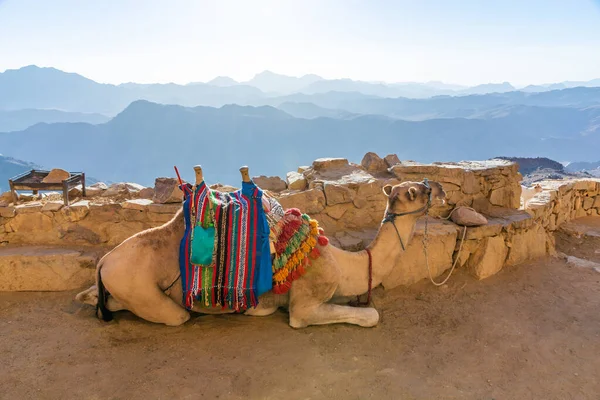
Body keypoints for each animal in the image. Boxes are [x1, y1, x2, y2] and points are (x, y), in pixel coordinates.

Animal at [76, 166, 446, 328]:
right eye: (414, 192)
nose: (437, 187)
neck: (342, 264)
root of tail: (105, 262)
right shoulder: (305, 303)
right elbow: (369, 315)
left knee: (98, 296)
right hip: (141, 287)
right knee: (174, 314)